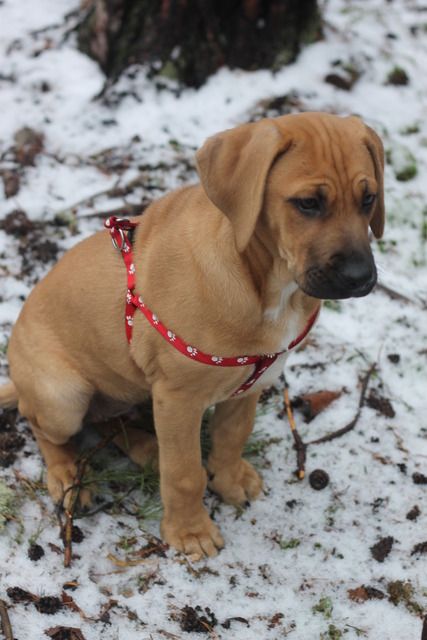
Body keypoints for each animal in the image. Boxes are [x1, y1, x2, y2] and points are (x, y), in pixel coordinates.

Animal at [0, 112, 384, 558]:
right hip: (64, 396)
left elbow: (233, 436)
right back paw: (67, 473)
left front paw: (229, 480)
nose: (361, 278)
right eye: (308, 203)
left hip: (130, 390)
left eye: (368, 199)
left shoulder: (251, 385)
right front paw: (190, 532)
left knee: (112, 419)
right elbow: (184, 473)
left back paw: (148, 448)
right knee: (43, 424)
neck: (265, 283)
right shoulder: (179, 398)